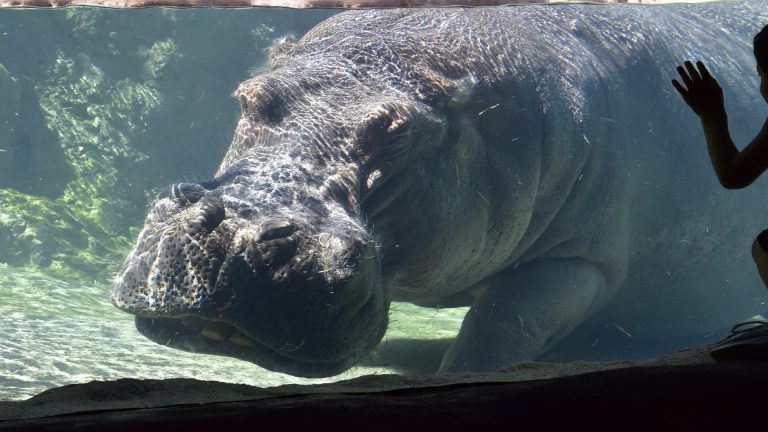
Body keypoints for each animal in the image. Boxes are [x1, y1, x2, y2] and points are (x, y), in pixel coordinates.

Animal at [111, 2, 768, 376]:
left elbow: (503, 322)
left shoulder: (580, 259)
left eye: (399, 135)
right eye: (248, 97)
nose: (236, 232)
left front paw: (459, 375)